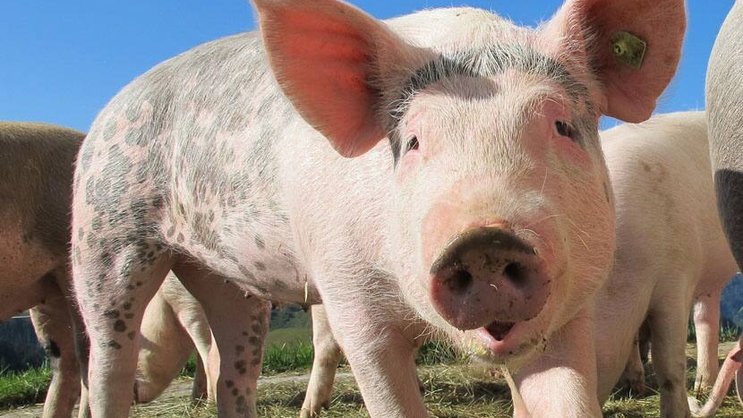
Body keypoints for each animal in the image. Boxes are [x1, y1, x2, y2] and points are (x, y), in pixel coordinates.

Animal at [69, 0, 685, 416]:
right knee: (106, 362)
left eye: (561, 125)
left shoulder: (572, 310)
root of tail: (107, 112)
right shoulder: (349, 300)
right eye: (411, 142)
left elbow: (569, 396)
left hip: (228, 281)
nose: (486, 241)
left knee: (233, 369)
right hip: (106, 232)